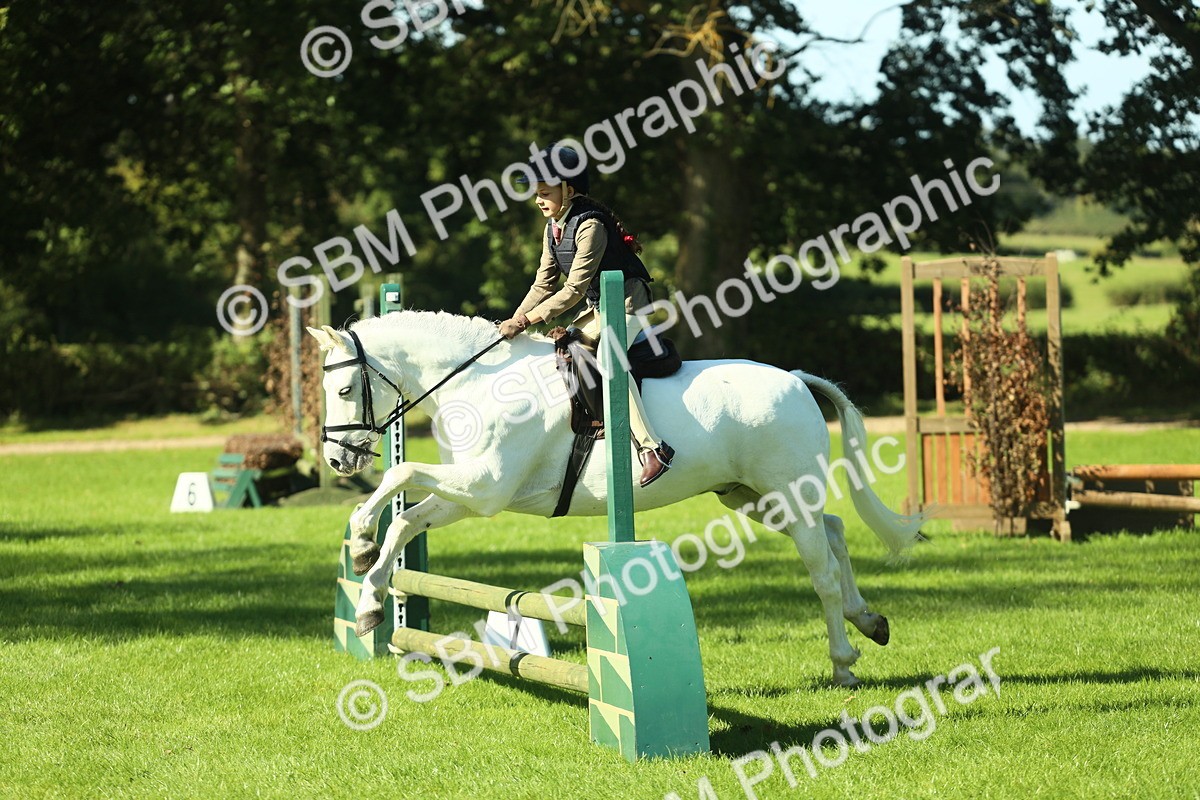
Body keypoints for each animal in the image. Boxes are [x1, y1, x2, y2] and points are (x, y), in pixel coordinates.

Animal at [308, 310, 924, 687]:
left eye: (344, 389)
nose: (339, 461)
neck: (477, 382)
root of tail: (795, 379)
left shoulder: (485, 486)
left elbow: (399, 474)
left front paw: (360, 543)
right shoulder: (468, 493)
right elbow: (403, 521)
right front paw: (368, 596)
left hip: (785, 492)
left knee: (821, 568)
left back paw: (844, 664)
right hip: (751, 497)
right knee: (836, 532)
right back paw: (869, 620)